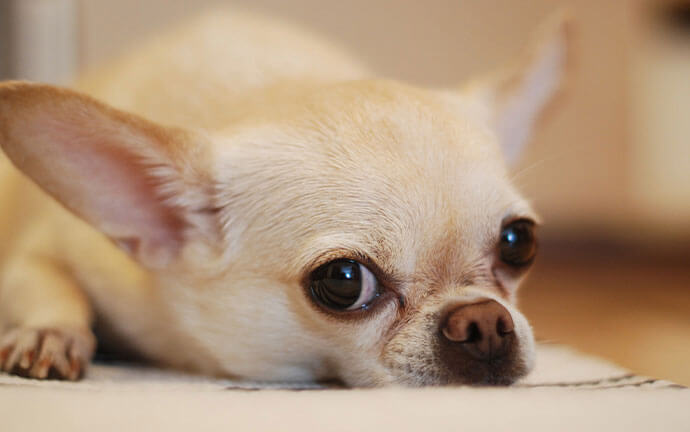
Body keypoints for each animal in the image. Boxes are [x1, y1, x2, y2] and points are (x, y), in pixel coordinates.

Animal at [0, 10, 569, 386]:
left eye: (519, 243)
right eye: (343, 281)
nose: (484, 320)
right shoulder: (46, 253)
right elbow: (49, 282)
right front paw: (50, 332)